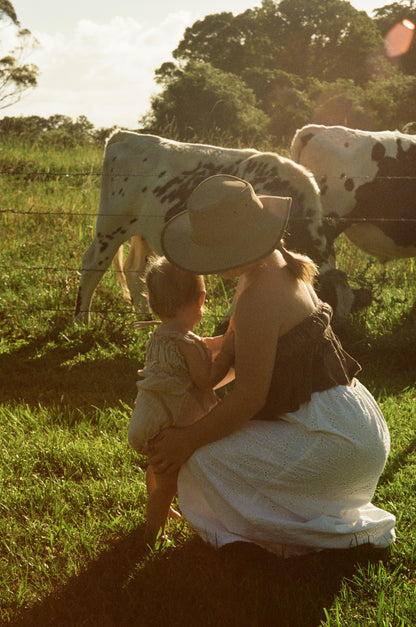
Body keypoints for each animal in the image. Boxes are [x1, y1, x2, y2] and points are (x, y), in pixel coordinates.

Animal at [75, 131, 354, 324]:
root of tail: (124, 135)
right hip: (111, 225)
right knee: (92, 267)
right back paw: (81, 321)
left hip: (142, 231)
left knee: (134, 271)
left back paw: (145, 319)